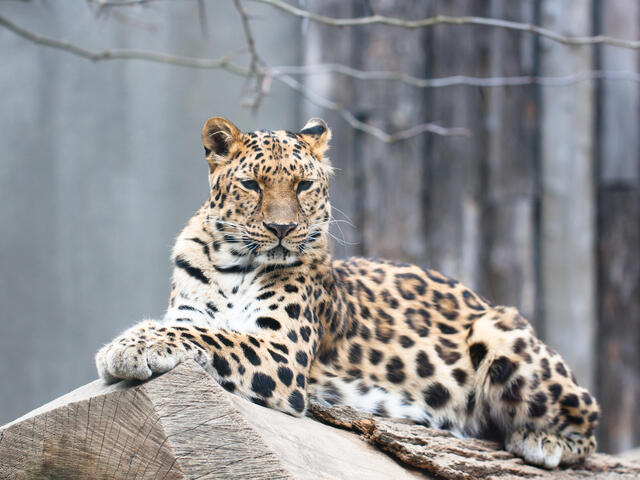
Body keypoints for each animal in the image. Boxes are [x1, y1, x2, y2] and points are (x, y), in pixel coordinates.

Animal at [96, 116, 600, 468]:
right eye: (251, 185)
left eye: (303, 185)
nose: (282, 229)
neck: (232, 264)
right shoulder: (192, 313)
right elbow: (194, 328)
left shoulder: (281, 351)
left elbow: (214, 336)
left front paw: (127, 346)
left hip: (501, 331)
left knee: (589, 419)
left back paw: (543, 440)